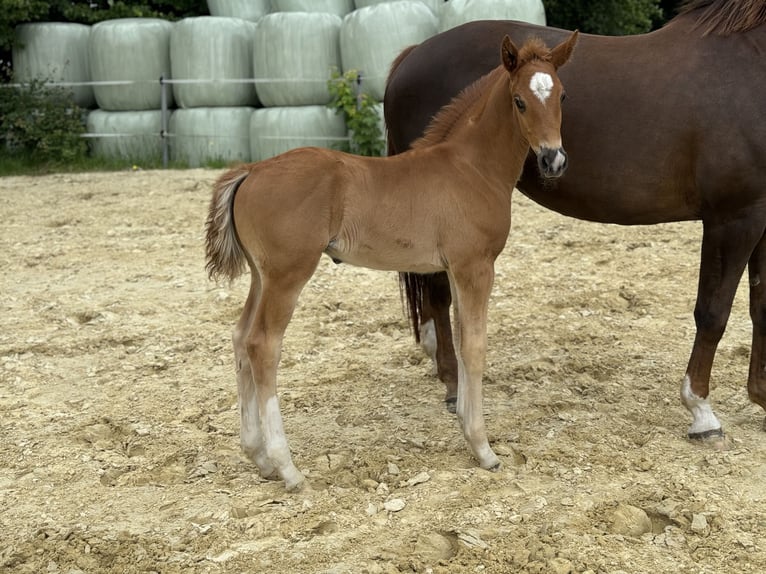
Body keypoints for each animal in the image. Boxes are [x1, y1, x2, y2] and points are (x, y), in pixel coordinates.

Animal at [207, 32, 580, 490]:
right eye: (519, 101)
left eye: (561, 95)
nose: (553, 160)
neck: (471, 168)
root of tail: (251, 171)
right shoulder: (475, 266)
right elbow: (474, 347)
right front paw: (483, 449)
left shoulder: (455, 269)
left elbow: (460, 341)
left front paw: (465, 427)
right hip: (287, 276)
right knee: (263, 345)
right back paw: (287, 468)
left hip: (261, 277)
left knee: (240, 338)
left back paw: (257, 456)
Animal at [388, 0, 766, 440]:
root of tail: (411, 55)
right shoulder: (733, 218)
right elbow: (713, 311)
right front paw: (702, 412)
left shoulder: (762, 220)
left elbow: (760, 307)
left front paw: (761, 396)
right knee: (437, 294)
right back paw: (452, 386)